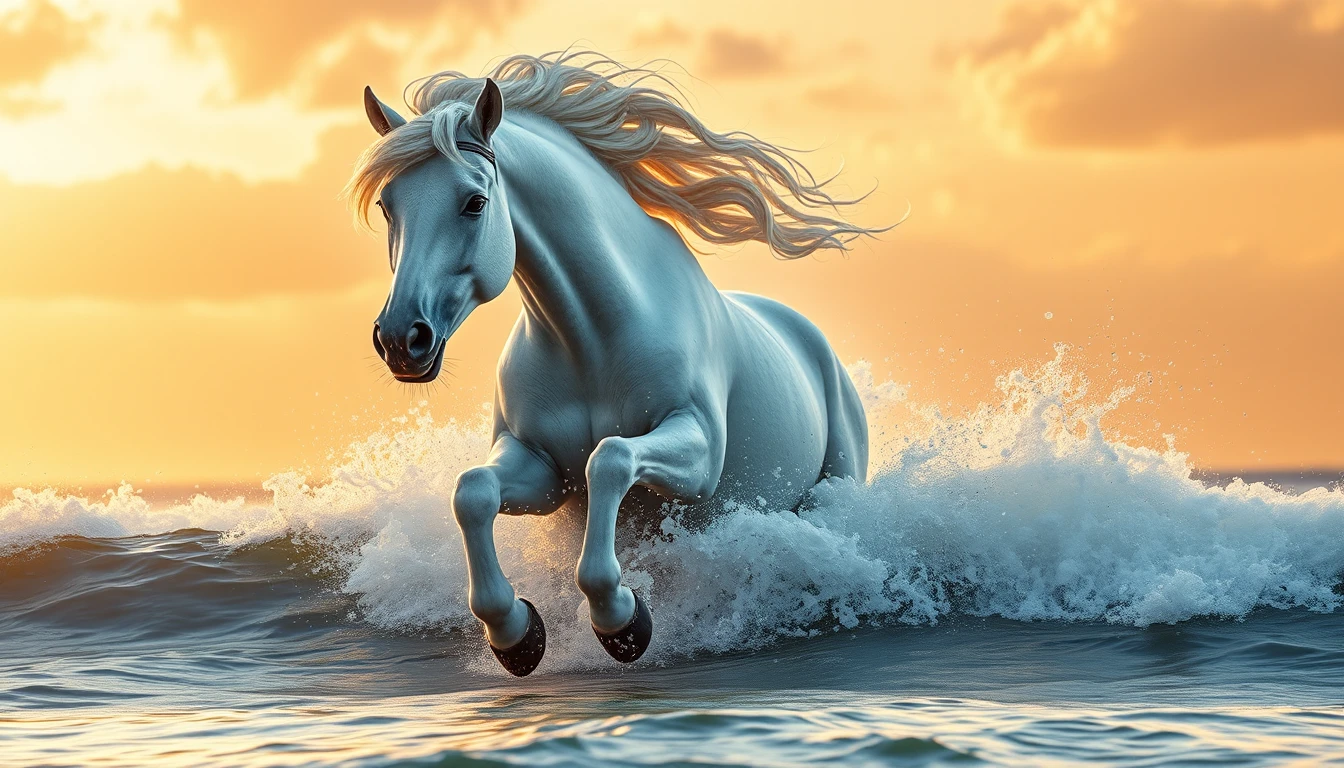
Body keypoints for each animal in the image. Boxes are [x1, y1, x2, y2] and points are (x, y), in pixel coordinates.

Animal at [348, 52, 881, 676]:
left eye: (475, 201)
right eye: (387, 206)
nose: (401, 340)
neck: (591, 342)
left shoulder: (698, 455)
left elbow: (610, 460)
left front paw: (623, 621)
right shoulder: (542, 472)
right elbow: (473, 492)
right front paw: (516, 634)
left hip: (830, 488)